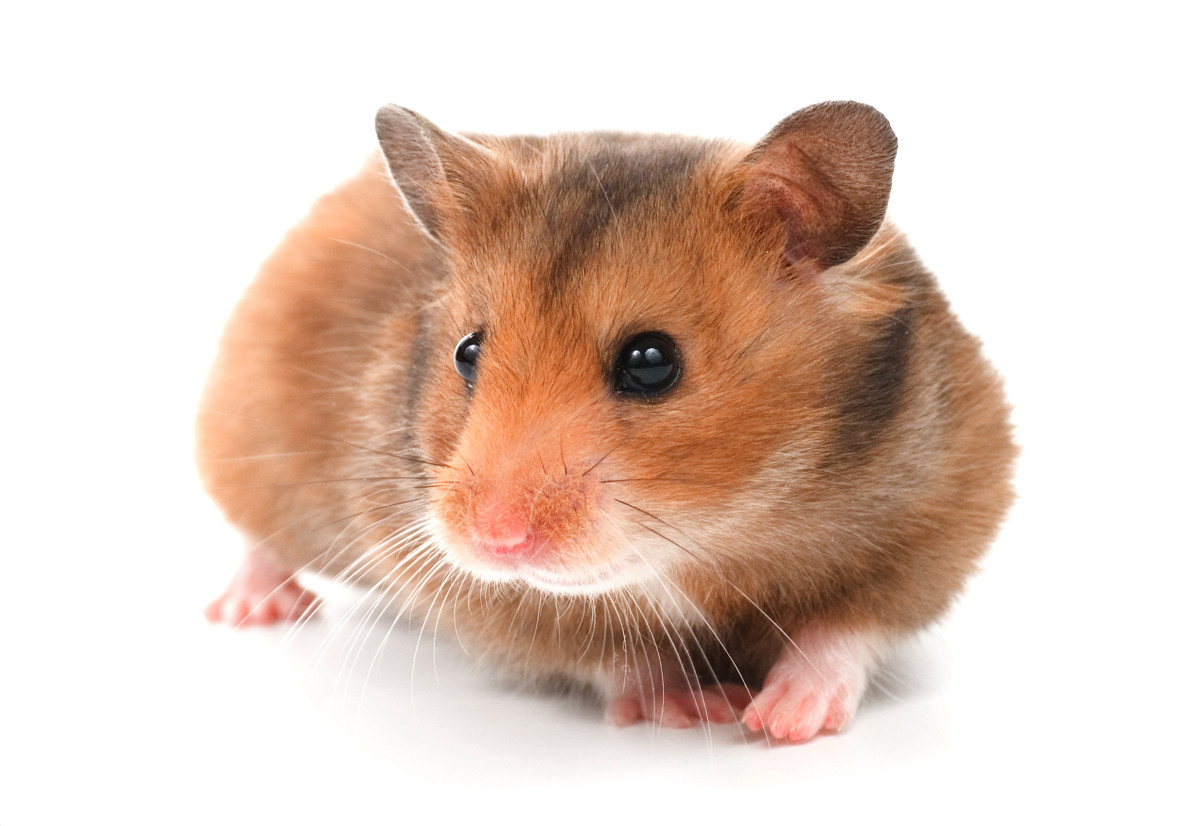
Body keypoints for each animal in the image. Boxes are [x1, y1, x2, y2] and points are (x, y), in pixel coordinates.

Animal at [198, 101, 1015, 742]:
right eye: (468, 351)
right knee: (258, 537)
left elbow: (845, 627)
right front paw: (700, 708)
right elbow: (614, 653)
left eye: (651, 362)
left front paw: (780, 722)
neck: (711, 536)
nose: (494, 541)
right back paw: (251, 610)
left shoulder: (941, 517)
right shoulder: (488, 596)